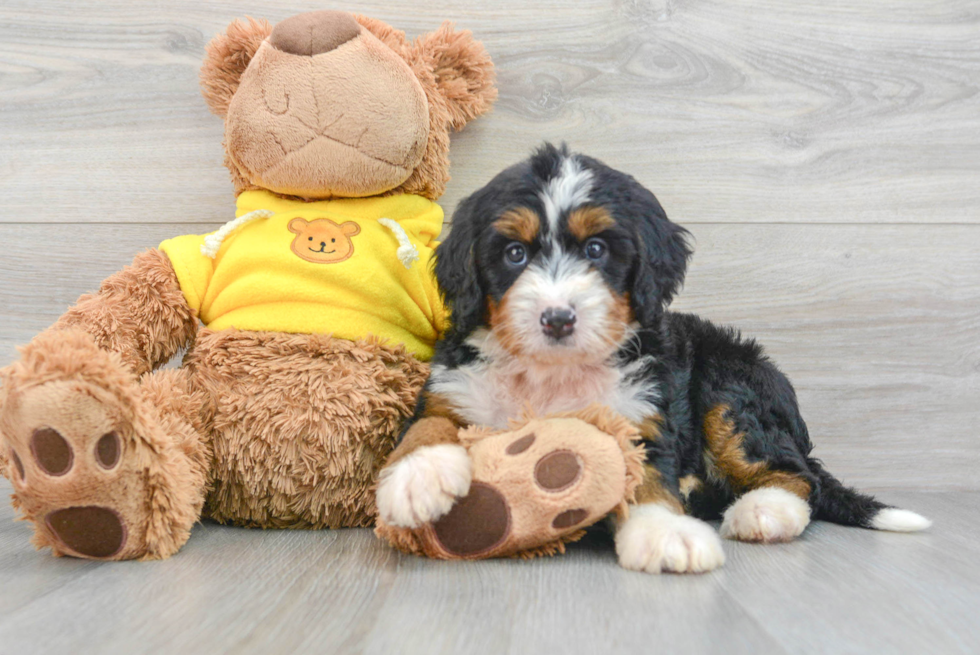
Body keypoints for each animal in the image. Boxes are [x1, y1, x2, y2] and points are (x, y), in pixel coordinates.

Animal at [378, 144, 936, 576]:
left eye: (597, 249)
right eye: (515, 254)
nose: (557, 319)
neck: (551, 374)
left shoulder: (640, 414)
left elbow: (648, 478)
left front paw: (666, 534)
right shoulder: (455, 387)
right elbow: (427, 426)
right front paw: (416, 478)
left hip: (729, 387)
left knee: (798, 476)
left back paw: (761, 511)